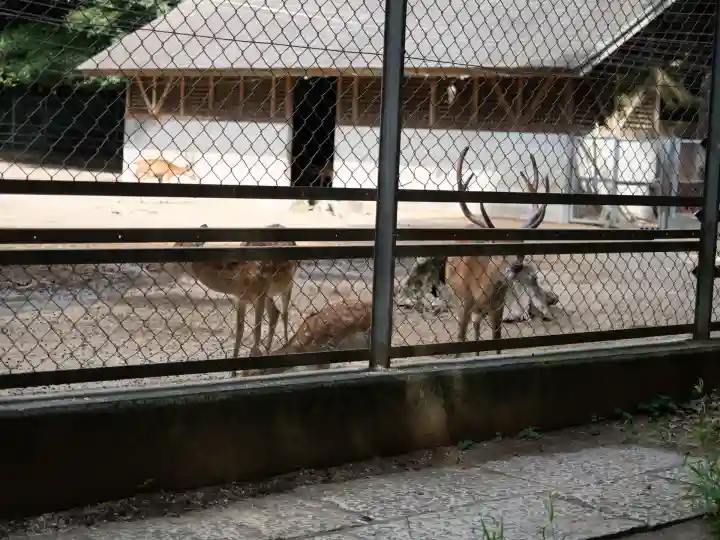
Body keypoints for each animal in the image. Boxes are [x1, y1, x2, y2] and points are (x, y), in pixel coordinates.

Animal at [172, 224, 298, 375]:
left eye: (181, 246)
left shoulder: (260, 294)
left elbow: (257, 329)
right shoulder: (241, 299)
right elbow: (239, 330)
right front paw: (233, 373)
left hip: (288, 284)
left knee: (284, 313)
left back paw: (285, 347)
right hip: (270, 294)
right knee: (275, 313)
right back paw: (268, 354)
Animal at [445, 146, 555, 353]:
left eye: (521, 249)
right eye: (499, 250)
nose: (516, 267)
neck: (481, 291)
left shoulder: (499, 308)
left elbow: (497, 342)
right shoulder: (464, 303)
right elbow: (460, 339)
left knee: (477, 328)